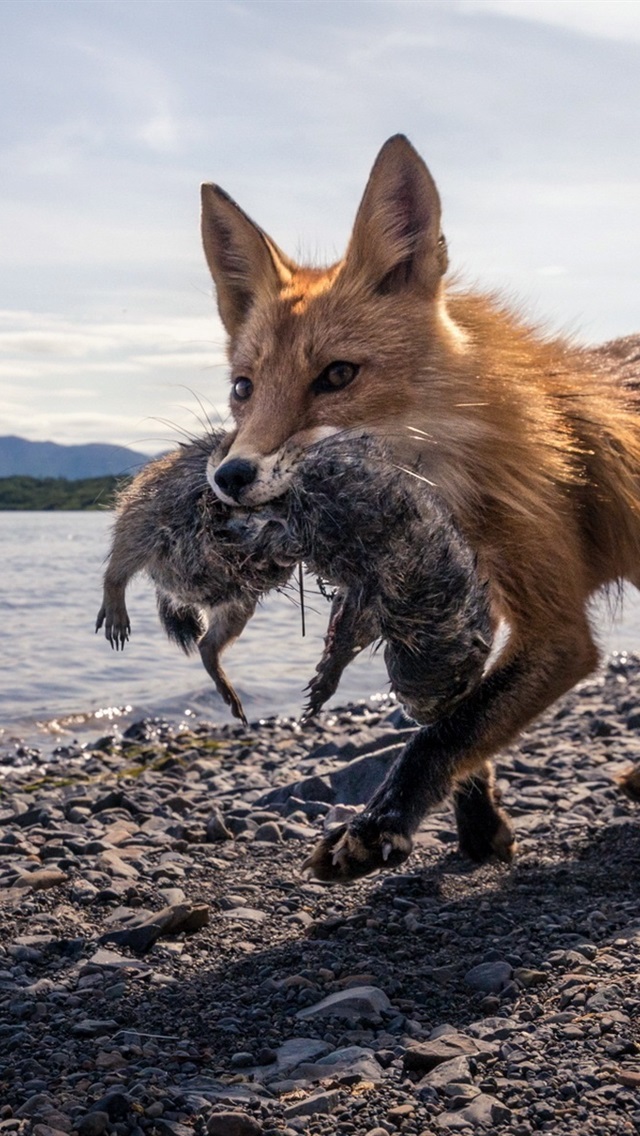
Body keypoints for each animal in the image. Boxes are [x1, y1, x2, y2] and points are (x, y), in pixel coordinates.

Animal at [200, 130, 640, 876]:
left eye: (337, 375)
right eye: (243, 387)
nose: (230, 476)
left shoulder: (555, 628)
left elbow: (444, 733)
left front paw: (380, 825)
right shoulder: (454, 602)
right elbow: (455, 720)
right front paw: (479, 828)